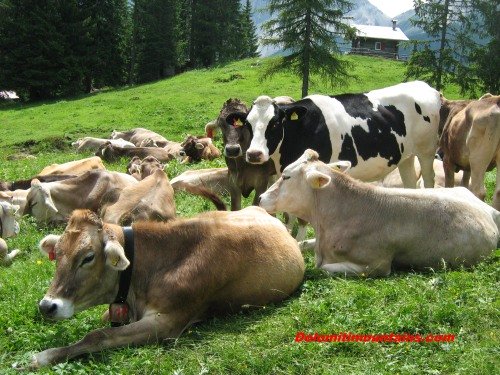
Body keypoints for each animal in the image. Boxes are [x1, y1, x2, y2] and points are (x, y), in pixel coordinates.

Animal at [33, 207, 304, 368]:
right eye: (57, 254)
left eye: (88, 257)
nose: (47, 306)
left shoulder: (167, 321)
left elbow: (99, 335)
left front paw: (44, 356)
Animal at [244, 81, 440, 188]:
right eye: (247, 123)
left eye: (275, 123)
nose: (254, 154)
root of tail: (425, 86)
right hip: (407, 156)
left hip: (427, 151)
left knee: (429, 181)